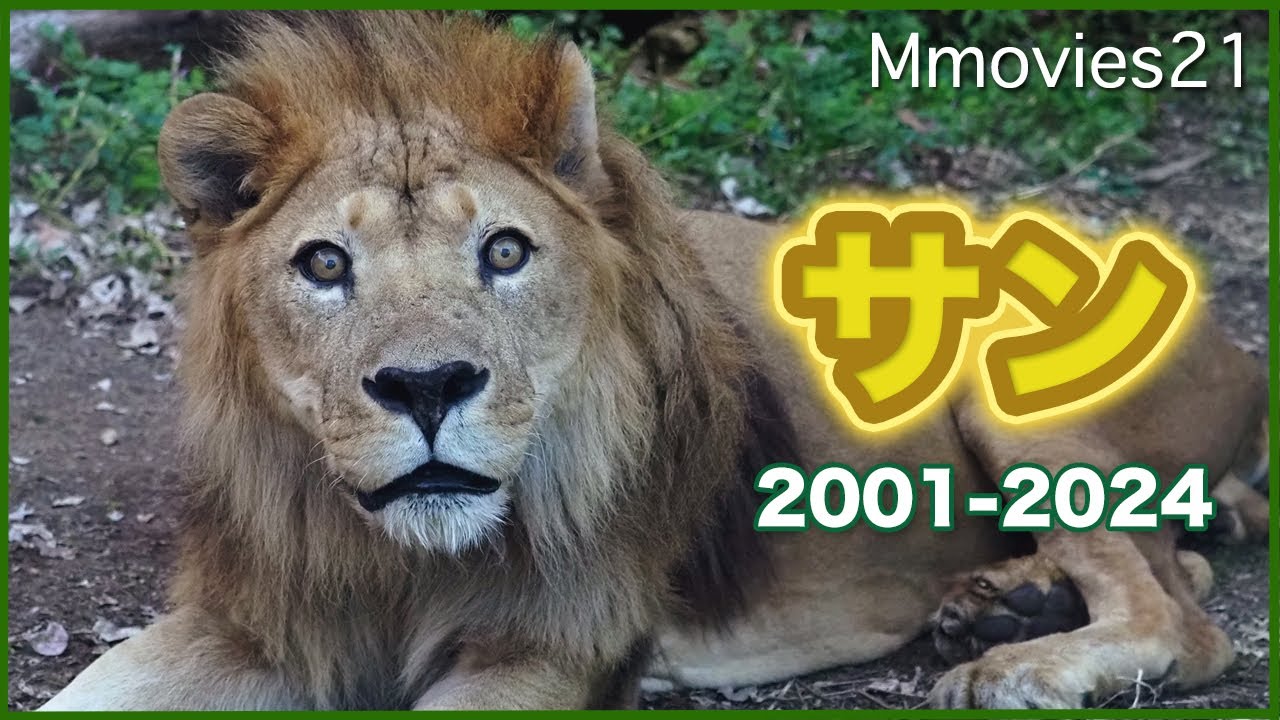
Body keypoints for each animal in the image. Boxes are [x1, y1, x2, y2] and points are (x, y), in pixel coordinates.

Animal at [42, 12, 1269, 710]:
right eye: (325, 265)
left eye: (503, 251)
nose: (427, 389)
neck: (388, 554)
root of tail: (1234, 344)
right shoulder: (254, 616)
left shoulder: (550, 643)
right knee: (1179, 568)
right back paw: (1005, 602)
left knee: (1186, 614)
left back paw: (1020, 664)